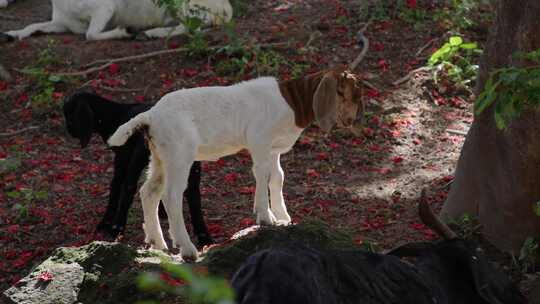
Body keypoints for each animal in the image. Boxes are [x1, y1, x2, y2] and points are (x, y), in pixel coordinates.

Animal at [62, 91, 213, 246]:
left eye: (69, 114)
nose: (69, 130)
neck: (115, 115)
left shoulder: (122, 158)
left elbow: (116, 186)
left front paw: (105, 223)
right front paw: (162, 212)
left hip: (137, 158)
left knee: (129, 187)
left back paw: (117, 228)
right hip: (189, 163)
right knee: (193, 193)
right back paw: (204, 237)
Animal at [108, 67, 362, 262]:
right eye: (346, 94)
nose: (351, 121)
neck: (291, 101)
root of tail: (151, 116)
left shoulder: (273, 149)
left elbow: (277, 176)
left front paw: (283, 217)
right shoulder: (260, 140)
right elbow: (262, 174)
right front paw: (265, 217)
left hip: (160, 155)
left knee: (150, 191)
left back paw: (157, 243)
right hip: (179, 153)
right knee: (171, 195)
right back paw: (187, 249)